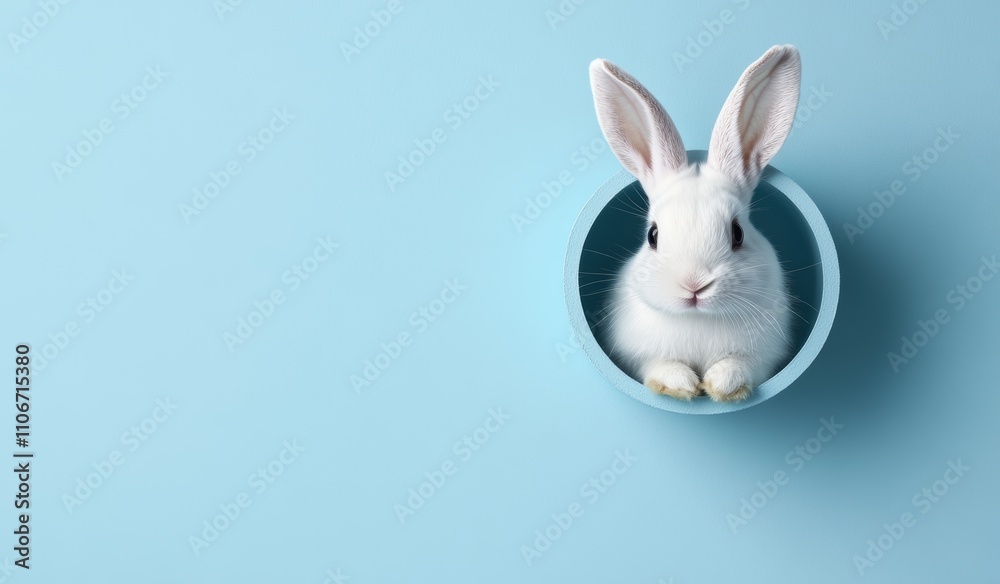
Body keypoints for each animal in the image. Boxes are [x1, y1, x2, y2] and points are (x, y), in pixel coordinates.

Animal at [588, 45, 801, 402]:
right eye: (653, 235)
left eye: (738, 233)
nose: (694, 285)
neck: (698, 319)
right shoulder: (639, 356)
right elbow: (659, 366)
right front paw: (681, 384)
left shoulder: (762, 358)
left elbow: (741, 366)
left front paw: (722, 385)